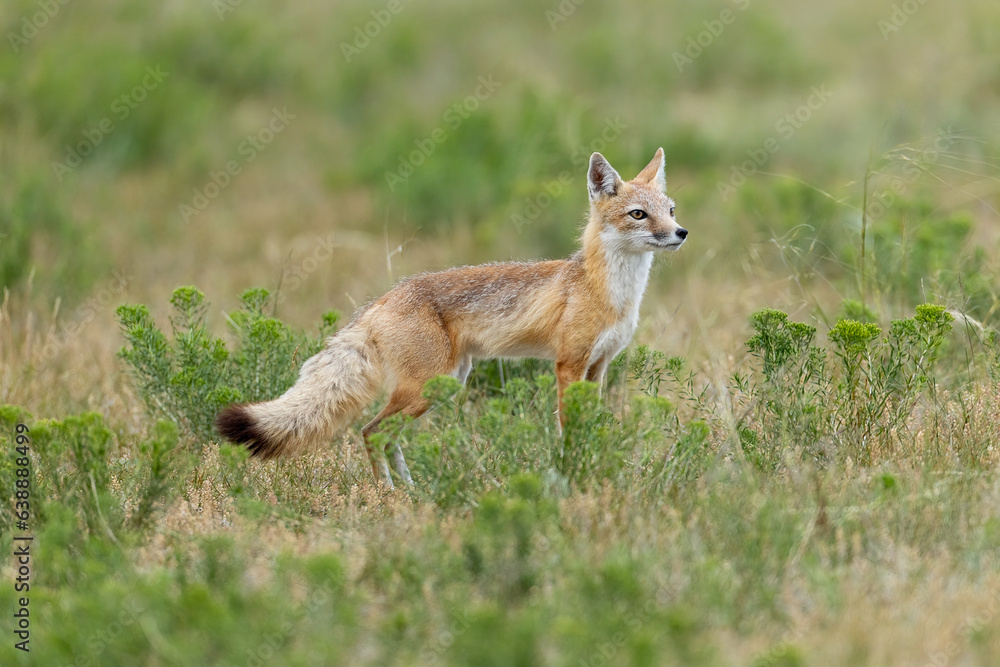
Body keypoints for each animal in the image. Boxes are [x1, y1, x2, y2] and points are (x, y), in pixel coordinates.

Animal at [216, 149, 688, 488]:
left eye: (670, 209)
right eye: (639, 214)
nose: (681, 233)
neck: (610, 294)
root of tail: (383, 298)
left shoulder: (598, 366)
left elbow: (592, 425)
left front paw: (596, 463)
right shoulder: (568, 365)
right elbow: (568, 431)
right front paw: (573, 471)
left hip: (445, 385)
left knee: (385, 436)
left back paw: (411, 491)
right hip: (426, 387)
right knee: (370, 431)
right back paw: (389, 495)